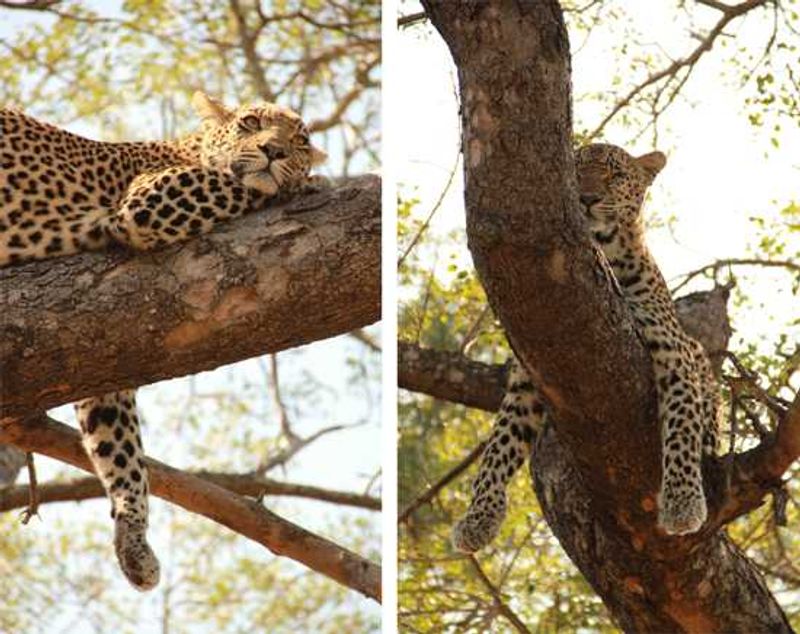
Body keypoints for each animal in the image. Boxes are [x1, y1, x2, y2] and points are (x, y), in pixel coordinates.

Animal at [0, 92, 327, 590]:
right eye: (251, 123)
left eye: (301, 141)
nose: (276, 151)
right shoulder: (147, 201)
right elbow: (245, 184)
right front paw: (303, 182)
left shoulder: (100, 364)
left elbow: (121, 449)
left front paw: (134, 541)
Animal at [452, 144, 721, 553]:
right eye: (575, 171)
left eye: (615, 176)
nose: (588, 198)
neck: (606, 250)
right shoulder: (528, 375)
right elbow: (499, 445)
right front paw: (478, 519)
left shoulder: (674, 352)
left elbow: (681, 426)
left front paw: (683, 503)